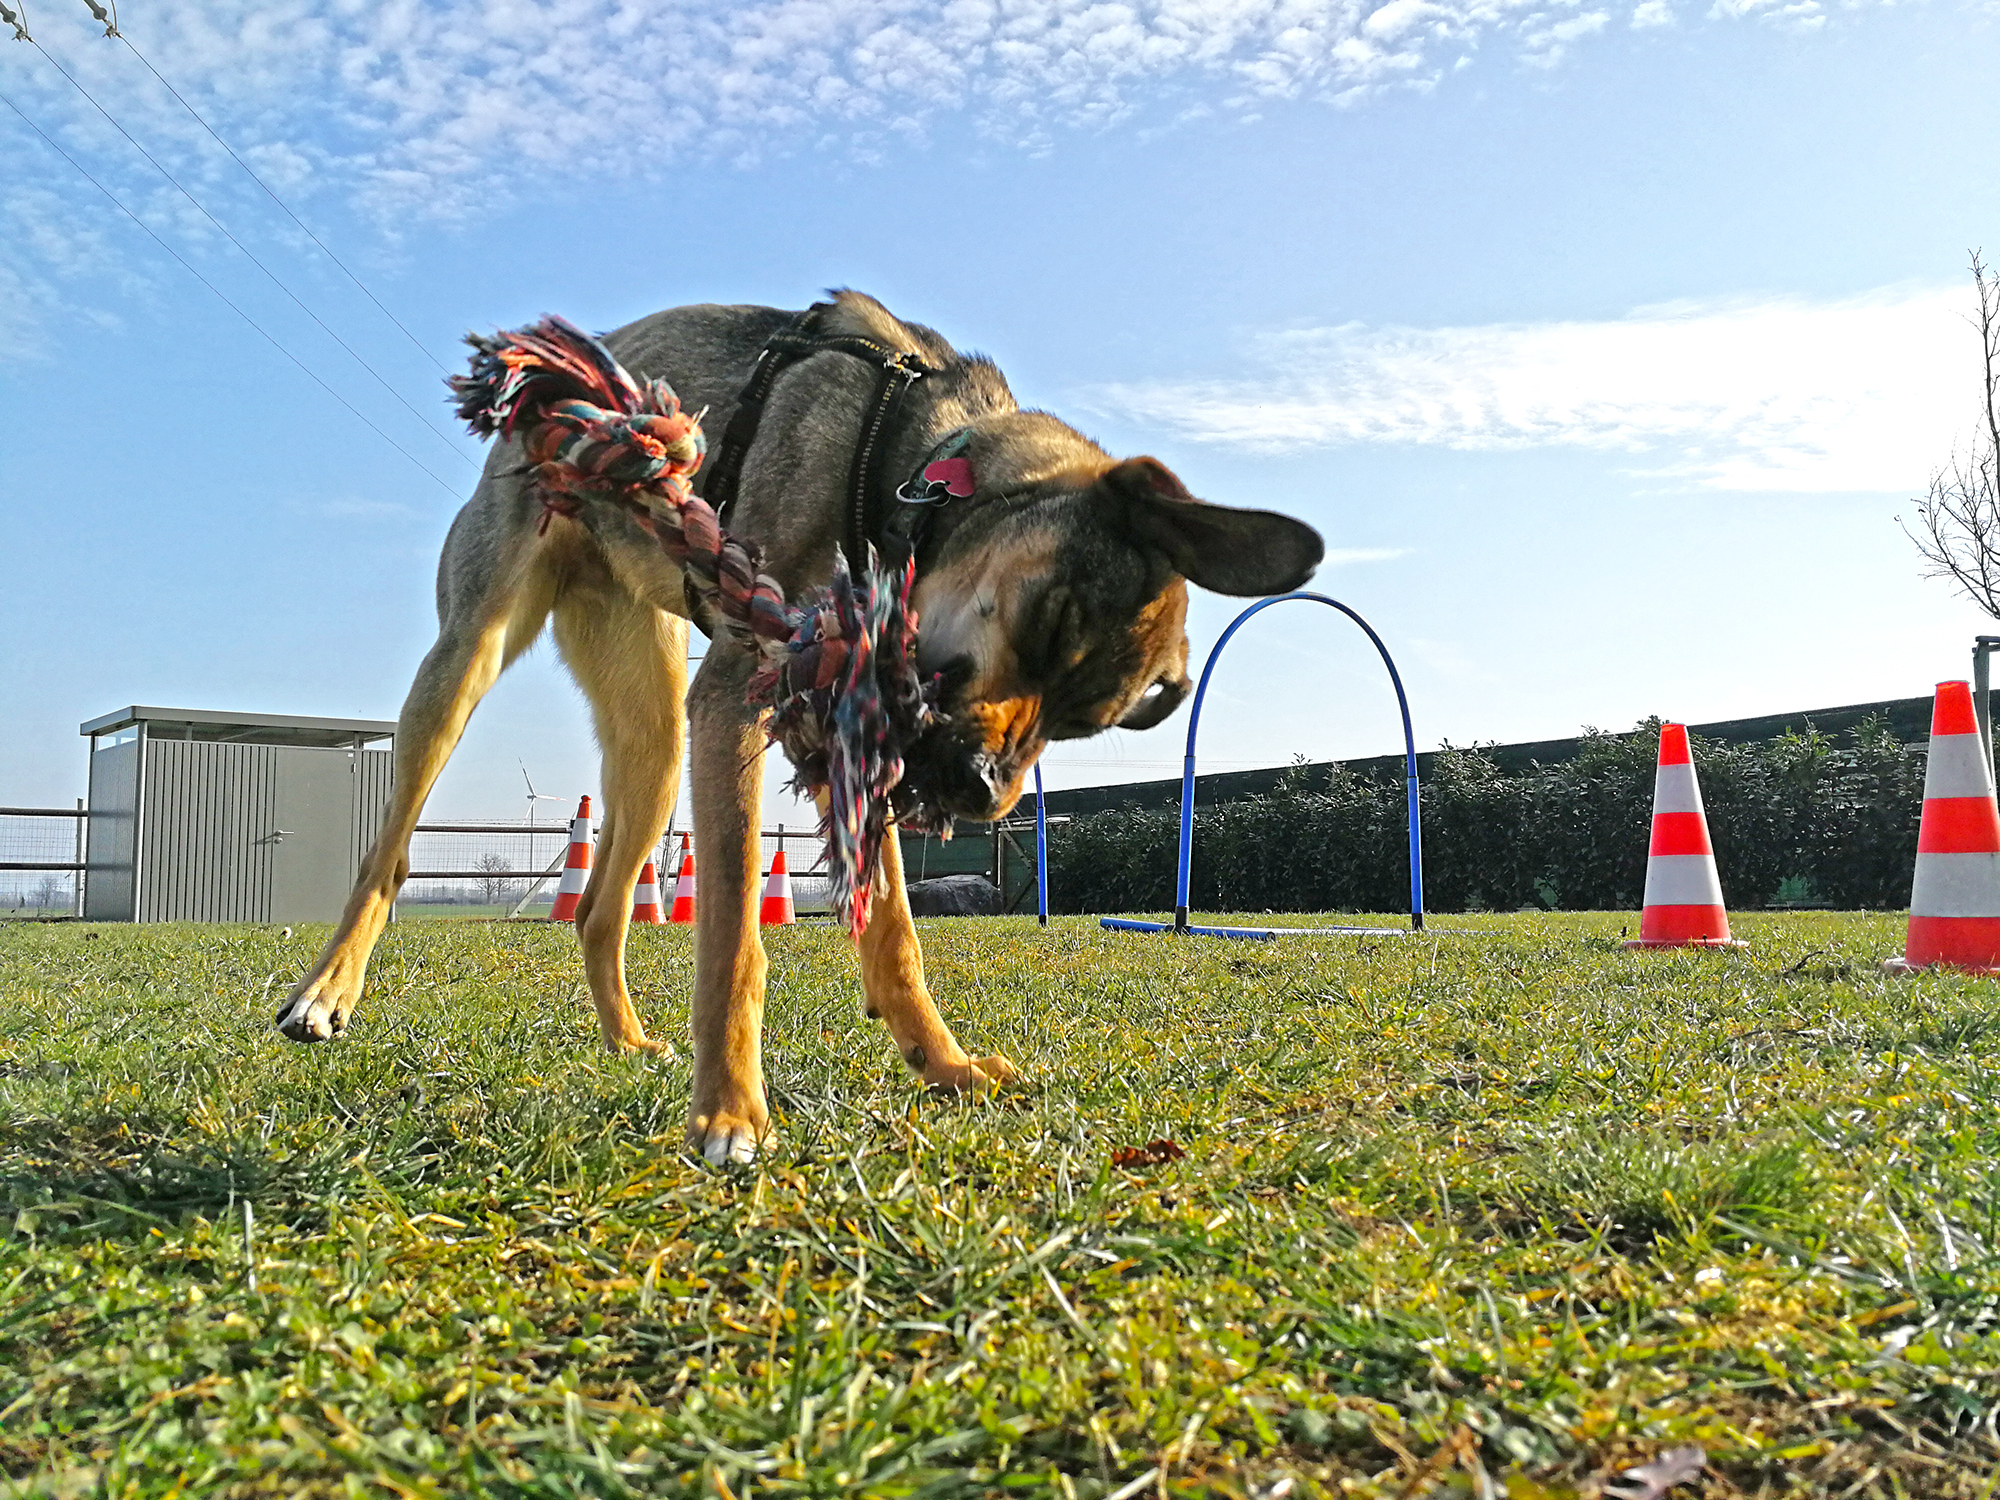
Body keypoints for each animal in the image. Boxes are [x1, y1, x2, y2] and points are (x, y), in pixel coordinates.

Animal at [274, 290, 1320, 1160]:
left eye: (1081, 724)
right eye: (1053, 621)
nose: (984, 791)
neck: (907, 474)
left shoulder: (860, 736)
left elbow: (895, 932)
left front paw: (943, 1066)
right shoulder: (747, 698)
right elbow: (735, 935)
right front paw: (730, 1113)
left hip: (656, 736)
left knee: (603, 907)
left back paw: (627, 1040)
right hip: (469, 659)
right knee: (388, 856)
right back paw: (325, 994)